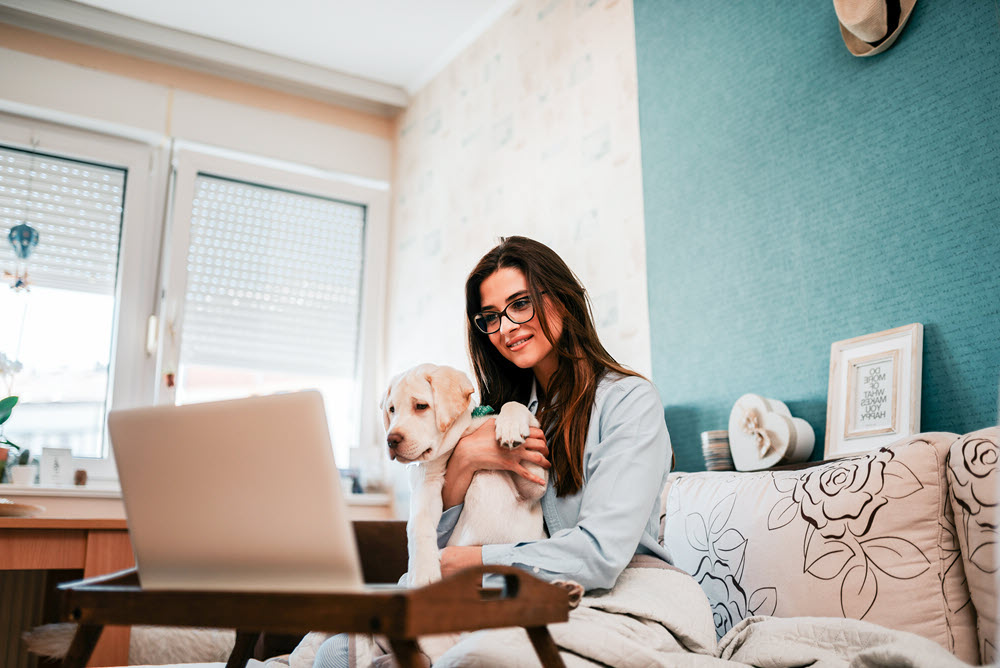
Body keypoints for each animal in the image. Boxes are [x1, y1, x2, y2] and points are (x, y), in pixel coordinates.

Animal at [380, 362, 548, 588]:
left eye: (421, 406)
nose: (391, 440)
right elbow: (417, 525)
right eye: (392, 410)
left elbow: (513, 404)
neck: (462, 435)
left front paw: (510, 426)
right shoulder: (427, 485)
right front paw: (423, 572)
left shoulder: (535, 483)